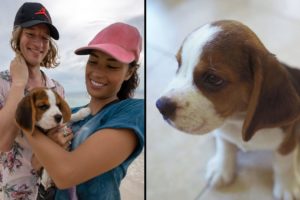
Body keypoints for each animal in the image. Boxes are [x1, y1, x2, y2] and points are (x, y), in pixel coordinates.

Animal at [156, 20, 300, 200]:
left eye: (213, 78)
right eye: (179, 65)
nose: (160, 106)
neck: (237, 121)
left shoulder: (288, 140)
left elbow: (284, 163)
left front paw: (287, 186)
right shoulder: (223, 132)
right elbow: (225, 147)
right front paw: (221, 169)